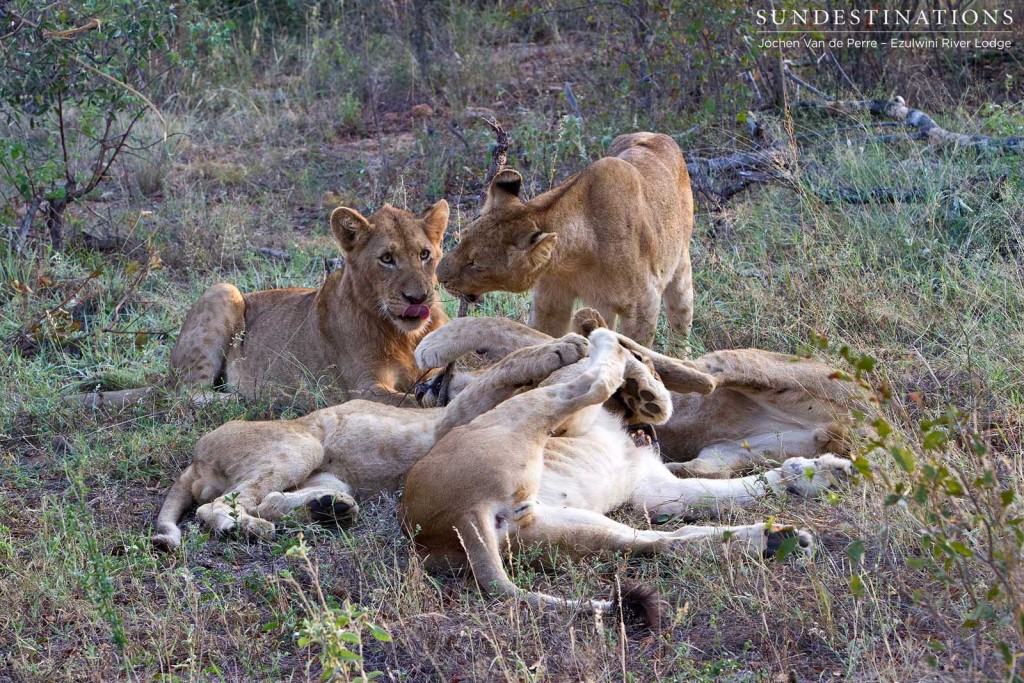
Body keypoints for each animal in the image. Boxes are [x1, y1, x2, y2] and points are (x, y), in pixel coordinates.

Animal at [74, 200, 450, 409]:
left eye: (424, 255)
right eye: (386, 258)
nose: (418, 298)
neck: (402, 335)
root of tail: (167, 374)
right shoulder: (360, 390)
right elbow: (410, 403)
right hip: (224, 290)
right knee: (185, 393)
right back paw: (257, 397)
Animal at [436, 133, 692, 344]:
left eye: (476, 264)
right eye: (461, 240)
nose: (438, 277)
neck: (573, 262)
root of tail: (657, 134)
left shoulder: (644, 305)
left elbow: (639, 347)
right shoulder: (551, 300)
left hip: (680, 265)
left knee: (680, 318)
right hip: (600, 303)